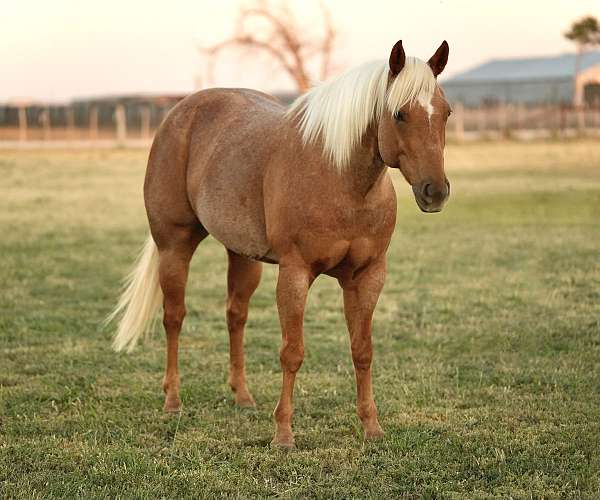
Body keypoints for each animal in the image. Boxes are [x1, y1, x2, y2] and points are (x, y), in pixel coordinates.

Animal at [110, 39, 452, 446]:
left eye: (446, 113)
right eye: (399, 113)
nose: (435, 192)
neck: (340, 177)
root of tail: (178, 113)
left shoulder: (368, 276)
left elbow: (362, 350)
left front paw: (371, 427)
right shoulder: (295, 273)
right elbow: (292, 352)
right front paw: (284, 434)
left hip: (242, 255)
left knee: (235, 315)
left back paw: (242, 396)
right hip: (174, 246)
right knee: (174, 317)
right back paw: (173, 400)